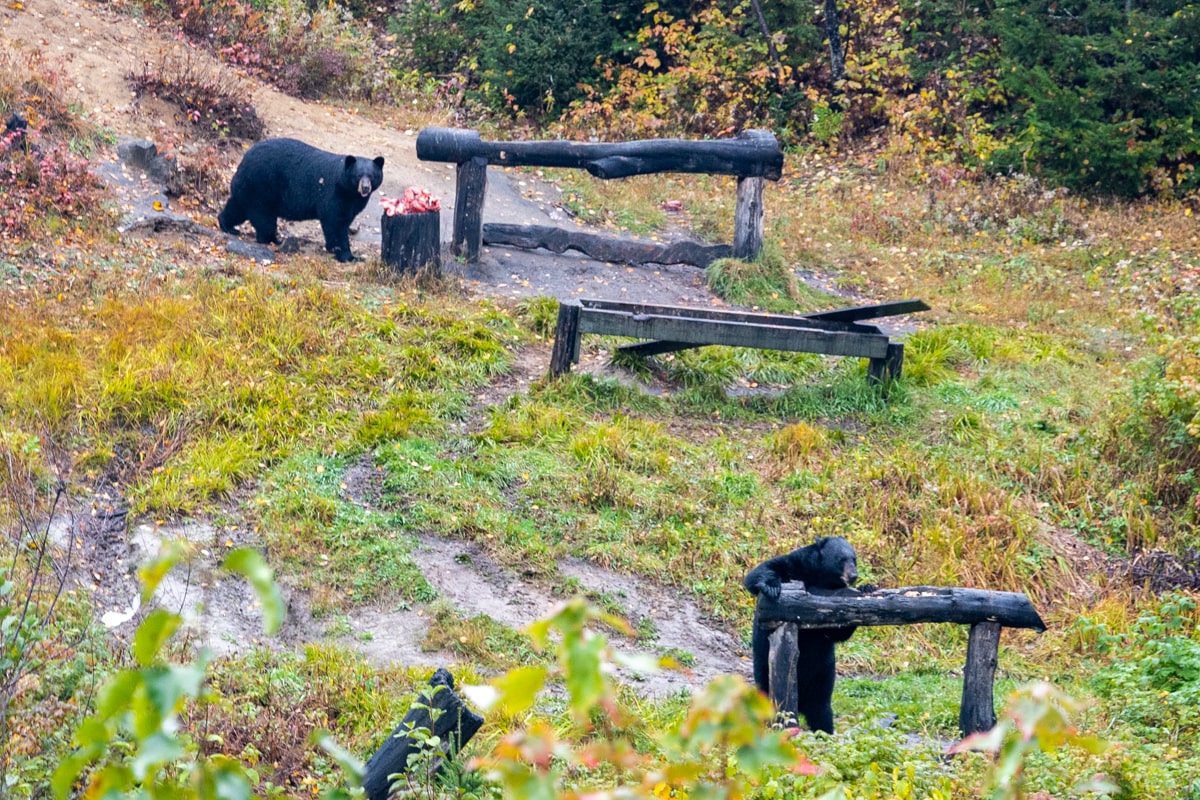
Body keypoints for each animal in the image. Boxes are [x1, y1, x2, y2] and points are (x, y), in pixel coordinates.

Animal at [217, 136, 384, 262]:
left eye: (371, 176)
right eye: (358, 176)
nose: (365, 188)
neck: (348, 191)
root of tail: (244, 158)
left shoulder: (351, 202)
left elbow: (344, 220)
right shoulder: (333, 194)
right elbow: (335, 223)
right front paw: (345, 254)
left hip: (249, 188)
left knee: (237, 207)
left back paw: (228, 225)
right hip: (262, 186)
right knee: (263, 217)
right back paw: (272, 238)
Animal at [739, 534, 864, 734]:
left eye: (854, 559)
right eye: (841, 559)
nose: (853, 576)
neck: (821, 579)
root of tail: (801, 704)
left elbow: (836, 631)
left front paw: (868, 588)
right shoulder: (795, 565)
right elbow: (760, 572)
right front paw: (771, 587)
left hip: (823, 673)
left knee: (821, 708)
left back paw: (824, 731)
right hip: (764, 669)